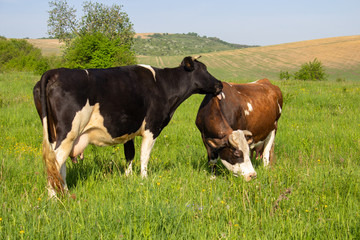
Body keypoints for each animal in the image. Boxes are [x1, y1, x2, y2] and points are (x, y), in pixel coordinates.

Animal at [34, 56, 225, 197]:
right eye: (204, 69)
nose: (220, 84)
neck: (164, 85)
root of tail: (55, 72)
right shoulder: (152, 127)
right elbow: (144, 155)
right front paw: (144, 179)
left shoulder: (129, 130)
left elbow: (130, 154)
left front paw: (128, 177)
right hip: (68, 133)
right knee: (55, 162)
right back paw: (54, 197)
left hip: (54, 134)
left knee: (59, 165)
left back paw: (64, 192)